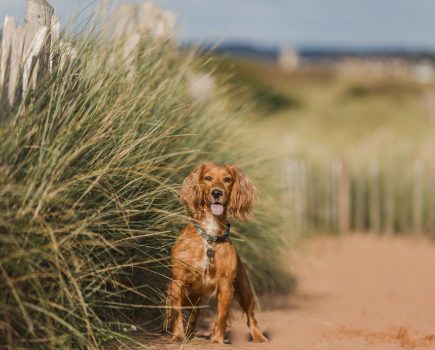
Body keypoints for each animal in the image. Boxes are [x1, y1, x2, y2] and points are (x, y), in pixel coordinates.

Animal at [167, 163, 270, 344]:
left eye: (227, 179)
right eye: (208, 178)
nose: (217, 192)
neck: (210, 236)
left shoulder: (226, 285)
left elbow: (221, 317)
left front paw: (217, 340)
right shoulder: (177, 282)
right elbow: (177, 312)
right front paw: (178, 336)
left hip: (245, 290)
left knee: (251, 317)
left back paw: (259, 337)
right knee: (193, 315)